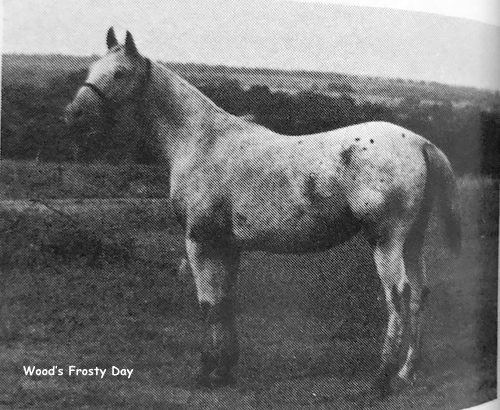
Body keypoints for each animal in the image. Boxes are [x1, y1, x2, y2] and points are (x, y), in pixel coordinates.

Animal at [65, 28, 460, 398]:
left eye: (119, 73)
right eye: (91, 68)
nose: (74, 114)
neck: (201, 141)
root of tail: (420, 142)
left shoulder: (200, 241)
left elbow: (208, 304)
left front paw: (207, 372)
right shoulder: (228, 245)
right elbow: (226, 301)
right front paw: (225, 369)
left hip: (386, 241)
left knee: (398, 296)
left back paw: (382, 378)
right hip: (412, 240)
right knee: (419, 293)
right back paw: (407, 373)